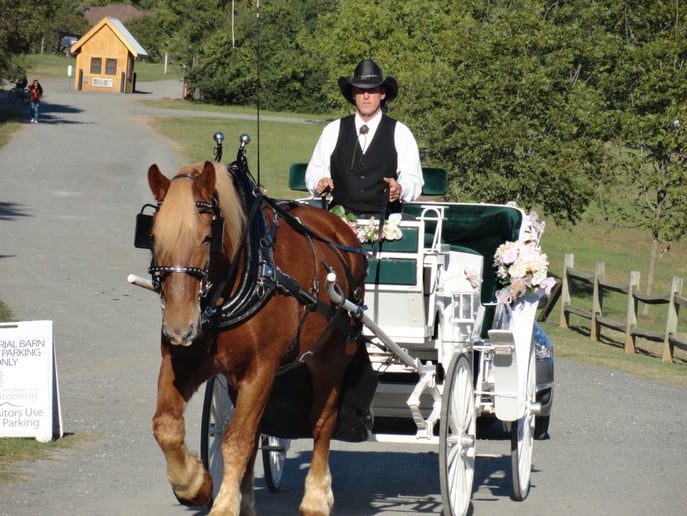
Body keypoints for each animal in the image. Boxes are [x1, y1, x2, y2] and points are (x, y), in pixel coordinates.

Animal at [141, 157, 368, 516]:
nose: (180, 326)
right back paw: (246, 499)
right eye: (152, 236)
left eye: (208, 237)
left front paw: (223, 506)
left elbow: (237, 441)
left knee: (322, 422)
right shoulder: (181, 363)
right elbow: (167, 426)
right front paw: (194, 484)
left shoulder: (261, 369)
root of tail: (338, 225)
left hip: (330, 358)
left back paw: (316, 497)